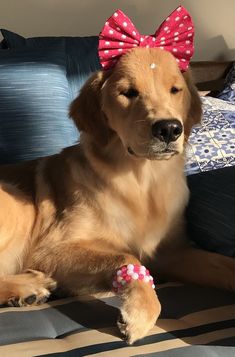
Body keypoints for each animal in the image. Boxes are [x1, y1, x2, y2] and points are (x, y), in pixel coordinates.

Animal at [0, 48, 235, 344]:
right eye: (128, 93)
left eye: (175, 90)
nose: (169, 129)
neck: (142, 183)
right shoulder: (50, 249)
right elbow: (127, 257)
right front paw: (141, 312)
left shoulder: (172, 252)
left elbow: (224, 264)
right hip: (15, 204)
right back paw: (27, 286)